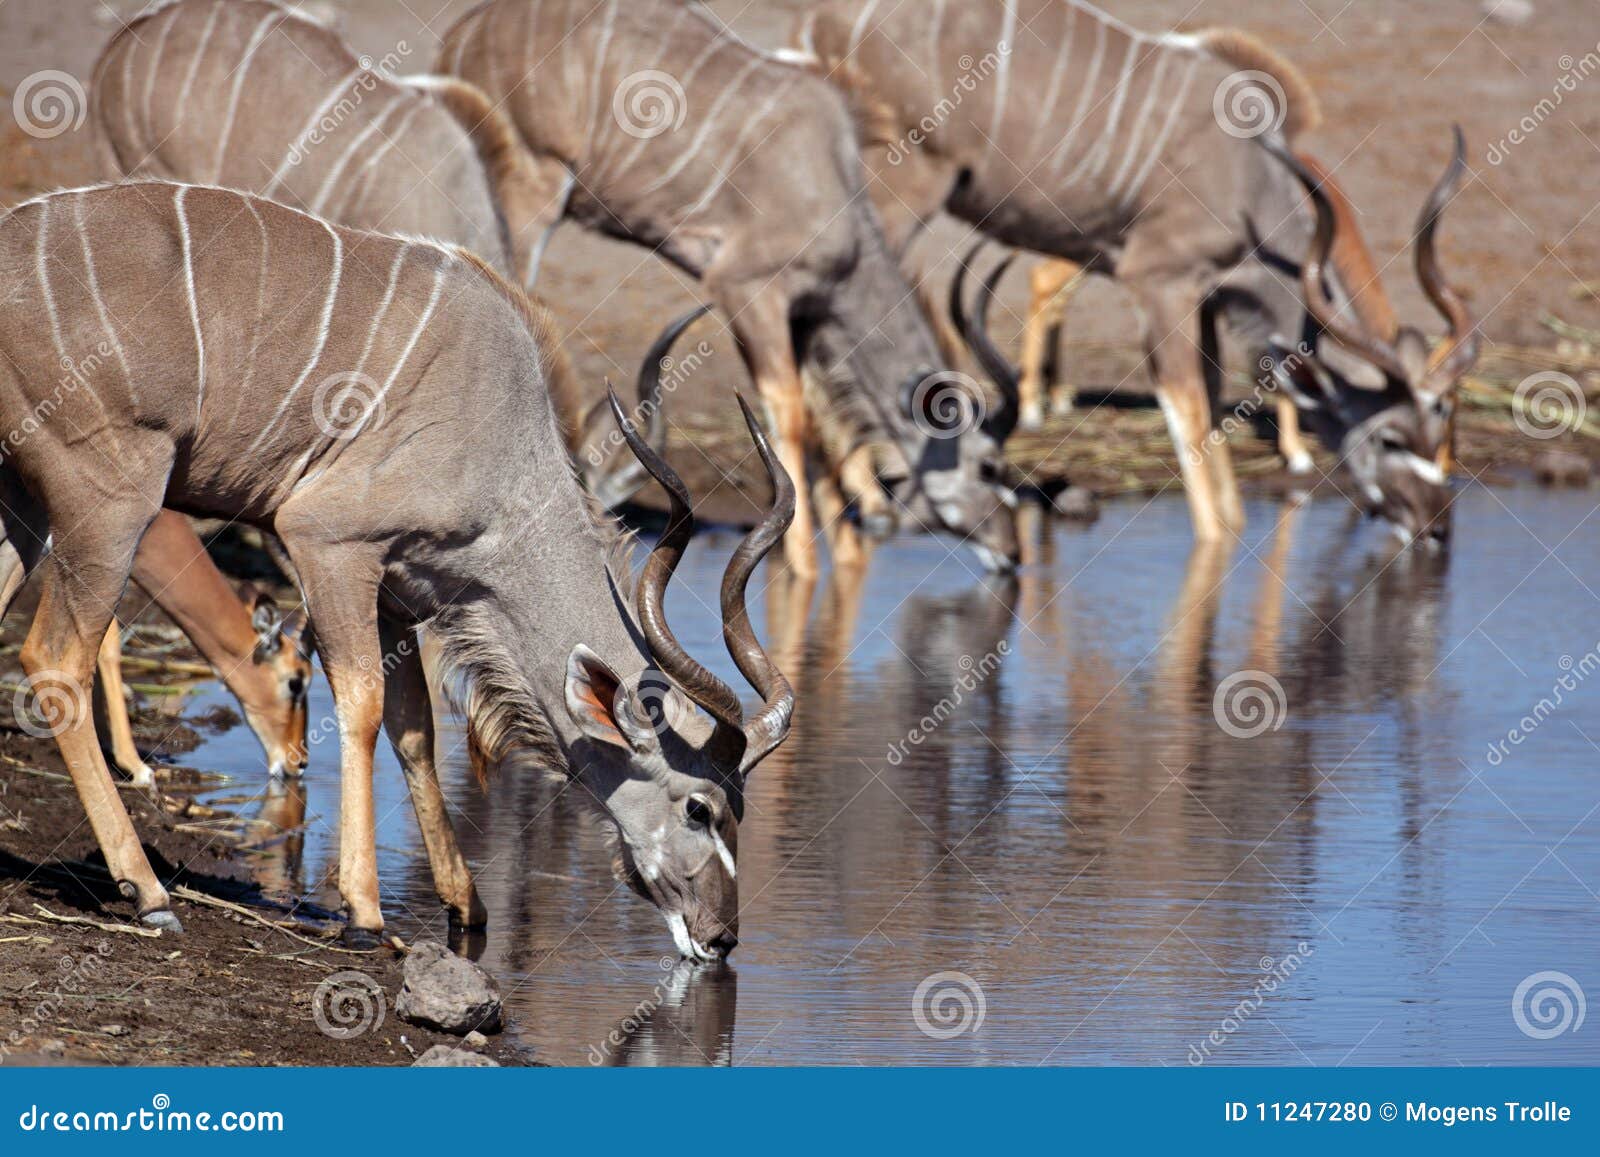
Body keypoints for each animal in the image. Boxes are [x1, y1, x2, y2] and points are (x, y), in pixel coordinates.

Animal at [0, 183, 796, 960]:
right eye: (700, 806)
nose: (721, 936)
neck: (505, 447)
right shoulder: (326, 540)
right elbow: (363, 703)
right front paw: (363, 911)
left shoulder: (398, 593)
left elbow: (415, 729)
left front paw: (465, 904)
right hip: (111, 499)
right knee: (54, 659)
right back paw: (149, 892)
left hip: (25, 507)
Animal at [438, 0, 1011, 576]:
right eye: (989, 468)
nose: (1011, 555)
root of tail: (463, 34)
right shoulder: (749, 291)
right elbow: (790, 417)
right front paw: (802, 559)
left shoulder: (801, 314)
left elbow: (816, 402)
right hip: (534, 189)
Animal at [793, 0, 1478, 547]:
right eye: (1391, 439)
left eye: (1438, 423)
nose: (1438, 525)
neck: (1255, 183)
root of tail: (823, 24)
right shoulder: (1161, 283)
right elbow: (1194, 438)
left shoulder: (1205, 297)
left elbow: (1213, 417)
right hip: (898, 188)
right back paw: (865, 499)